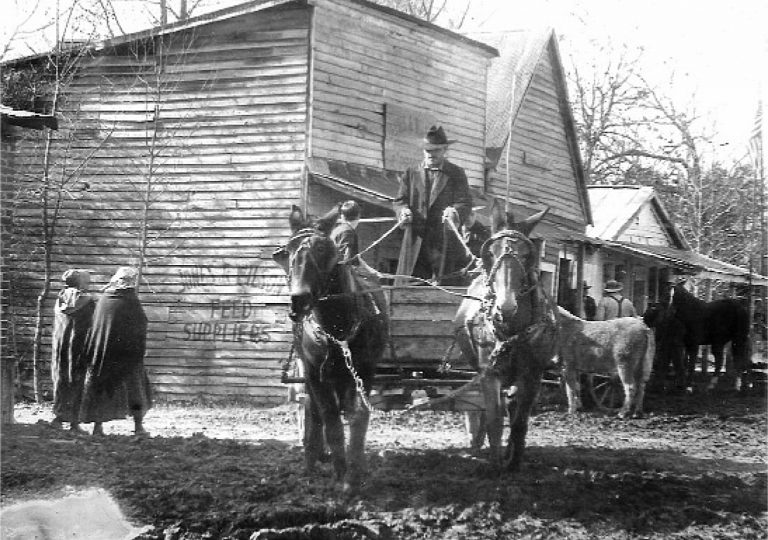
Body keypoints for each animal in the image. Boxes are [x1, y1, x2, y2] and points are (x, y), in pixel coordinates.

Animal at [272, 205, 390, 492]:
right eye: (288, 250)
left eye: (322, 248)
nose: (299, 300)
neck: (337, 327)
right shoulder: (315, 373)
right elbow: (331, 420)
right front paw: (340, 472)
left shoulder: (364, 371)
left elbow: (359, 417)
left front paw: (355, 473)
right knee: (316, 413)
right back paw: (313, 458)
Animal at [452, 205, 556, 470]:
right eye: (492, 252)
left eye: (526, 255)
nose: (505, 307)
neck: (512, 330)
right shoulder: (490, 373)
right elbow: (494, 419)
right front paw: (496, 463)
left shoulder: (532, 376)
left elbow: (519, 422)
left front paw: (514, 462)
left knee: (513, 407)